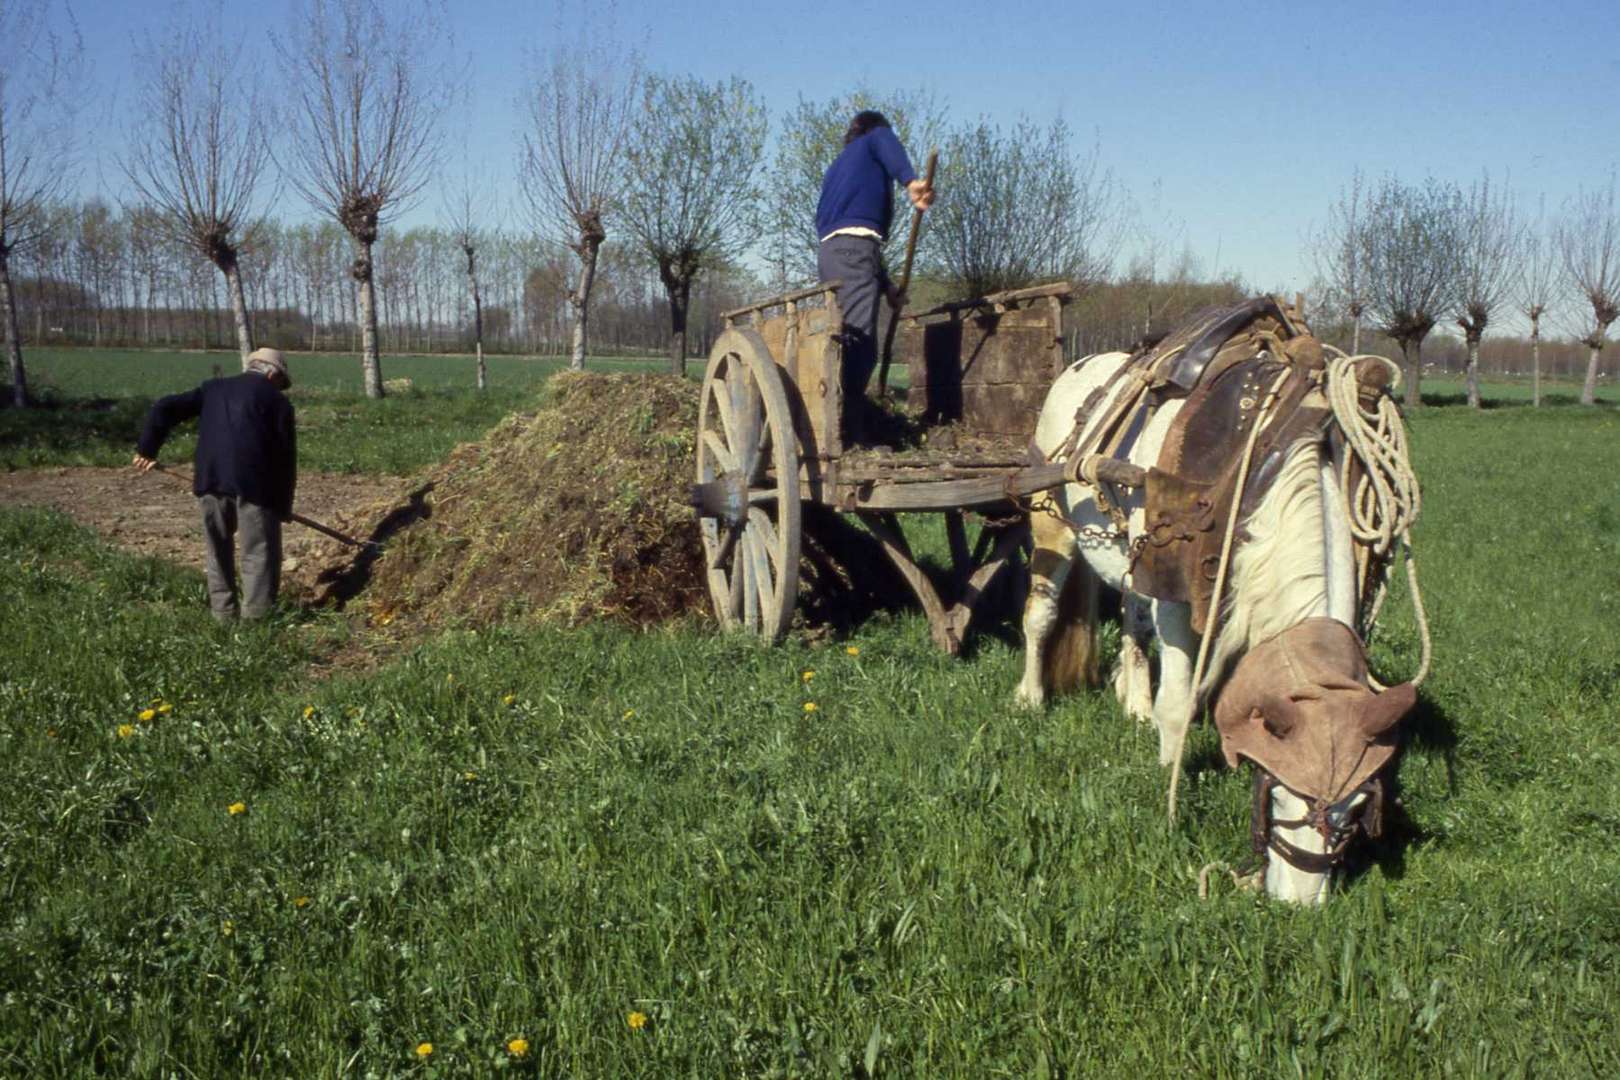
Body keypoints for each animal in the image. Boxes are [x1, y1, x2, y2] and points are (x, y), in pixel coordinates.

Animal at [1017, 302, 1425, 906]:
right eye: (1277, 793)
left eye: (1354, 809)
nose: (1299, 906)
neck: (1271, 457)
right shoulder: (1177, 599)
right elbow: (1179, 703)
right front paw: (1169, 784)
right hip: (1052, 524)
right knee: (1041, 614)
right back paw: (1030, 697)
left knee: (1132, 619)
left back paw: (1132, 700)